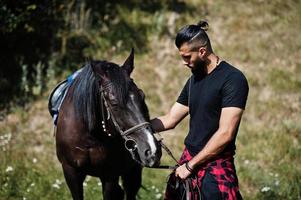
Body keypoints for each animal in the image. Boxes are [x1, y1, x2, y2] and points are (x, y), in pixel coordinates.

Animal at [51, 49, 161, 199]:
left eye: (142, 96)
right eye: (114, 103)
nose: (152, 150)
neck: (89, 137)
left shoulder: (109, 176)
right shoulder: (71, 172)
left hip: (133, 172)